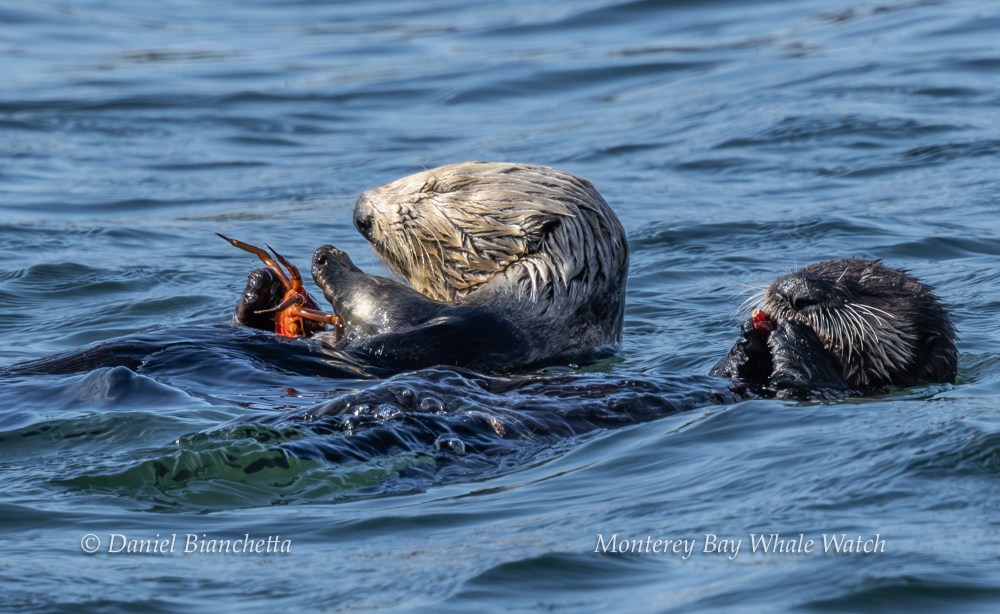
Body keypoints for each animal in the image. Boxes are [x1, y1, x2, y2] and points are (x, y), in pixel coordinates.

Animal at [236, 162, 629, 371]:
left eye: (441, 187)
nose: (360, 213)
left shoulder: (489, 330)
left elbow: (380, 302)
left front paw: (331, 260)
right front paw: (264, 286)